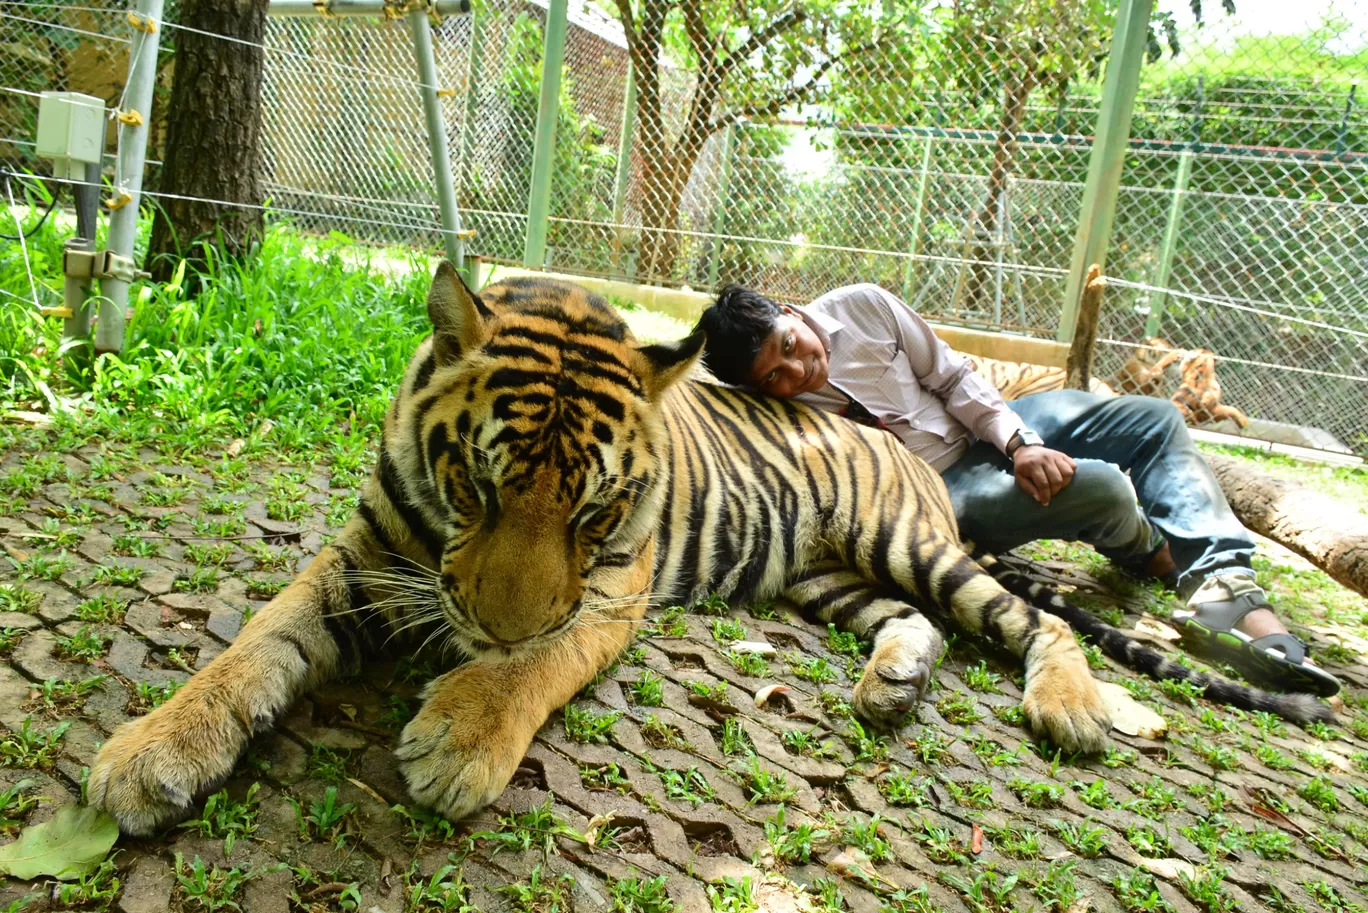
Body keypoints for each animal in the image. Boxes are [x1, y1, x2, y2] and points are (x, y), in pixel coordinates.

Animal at [85, 262, 1324, 837]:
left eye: (593, 515)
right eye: (480, 483)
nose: (479, 623)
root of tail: (904, 449)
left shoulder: (606, 594)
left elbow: (534, 660)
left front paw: (461, 735)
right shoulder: (361, 553)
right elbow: (251, 648)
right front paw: (151, 751)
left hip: (909, 544)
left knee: (1032, 621)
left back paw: (1087, 707)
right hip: (831, 577)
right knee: (914, 625)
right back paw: (892, 686)